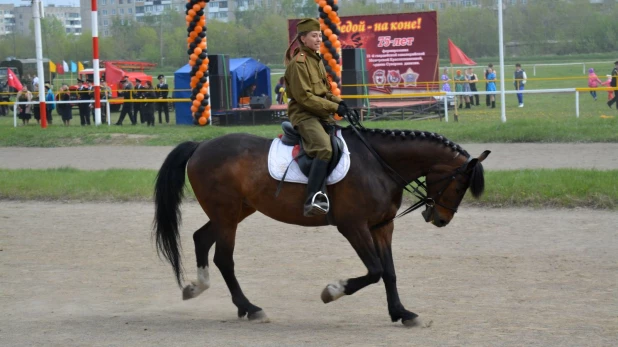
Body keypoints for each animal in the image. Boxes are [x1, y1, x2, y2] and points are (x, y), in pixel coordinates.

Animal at [153, 126, 486, 328]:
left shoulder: (382, 226)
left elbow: (389, 272)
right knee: (223, 258)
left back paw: (197, 287)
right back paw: (249, 307)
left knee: (201, 239)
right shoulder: (353, 227)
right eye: (460, 186)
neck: (378, 165)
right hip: (227, 214)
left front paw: (401, 313)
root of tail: (201, 145)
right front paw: (333, 291)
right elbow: (375, 271)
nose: (441, 219)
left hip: (234, 213)